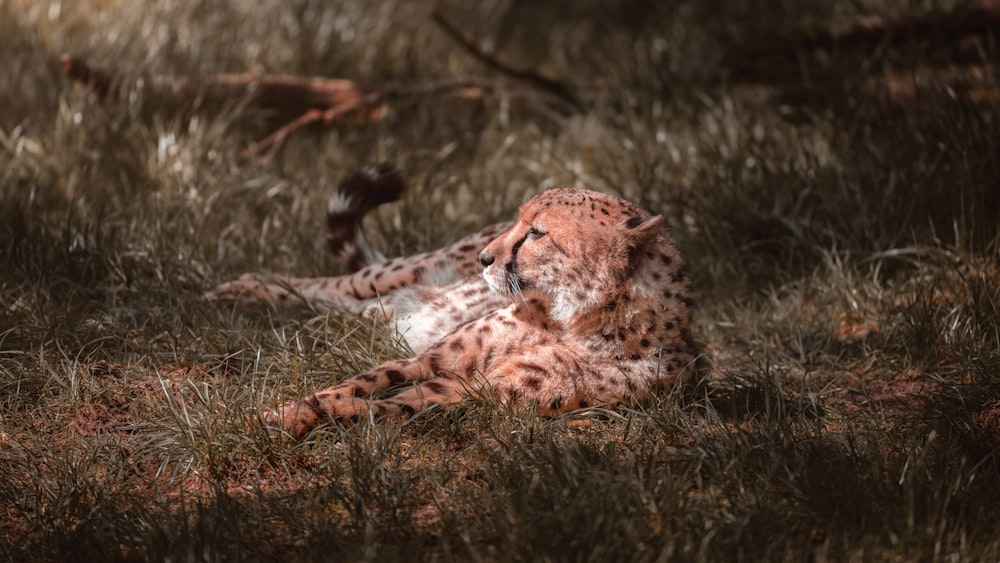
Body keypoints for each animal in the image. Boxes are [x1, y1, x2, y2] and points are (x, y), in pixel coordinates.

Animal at [213, 165, 696, 438]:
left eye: (537, 233)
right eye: (518, 222)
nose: (486, 257)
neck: (570, 319)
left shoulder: (470, 392)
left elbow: (382, 404)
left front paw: (291, 419)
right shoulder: (428, 360)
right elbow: (352, 385)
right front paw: (281, 413)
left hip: (388, 308)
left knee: (338, 309)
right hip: (406, 272)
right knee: (333, 284)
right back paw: (241, 288)